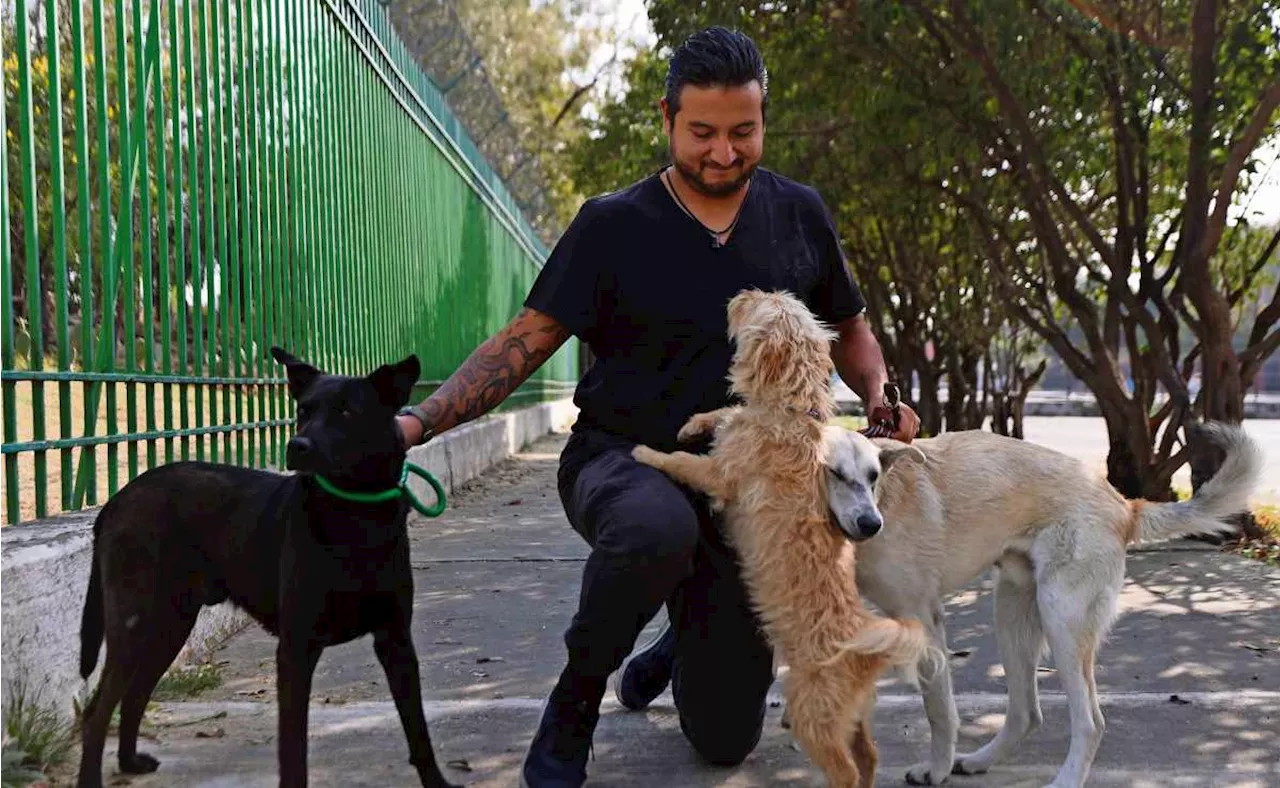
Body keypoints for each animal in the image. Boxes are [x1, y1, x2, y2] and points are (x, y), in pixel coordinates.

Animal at [77, 347, 463, 788]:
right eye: (302, 410)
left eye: (347, 411)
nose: (296, 445)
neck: (354, 516)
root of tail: (119, 497)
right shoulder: (295, 649)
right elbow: (293, 747)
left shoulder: (396, 640)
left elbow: (418, 730)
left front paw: (437, 782)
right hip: (134, 621)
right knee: (98, 709)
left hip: (169, 623)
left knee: (136, 691)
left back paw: (128, 762)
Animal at [634, 290, 936, 788]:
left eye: (763, 305)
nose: (743, 292)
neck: (791, 411)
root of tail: (863, 650)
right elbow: (724, 412)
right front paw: (695, 423)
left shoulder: (718, 475)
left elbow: (682, 462)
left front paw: (646, 452)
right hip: (852, 715)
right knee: (869, 756)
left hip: (813, 714)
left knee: (847, 770)